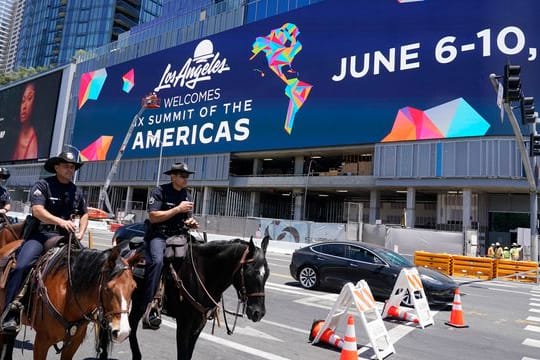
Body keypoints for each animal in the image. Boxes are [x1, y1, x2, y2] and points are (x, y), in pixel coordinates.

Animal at [0, 242, 142, 360]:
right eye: (108, 288)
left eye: (134, 287)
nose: (123, 332)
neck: (67, 297)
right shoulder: (41, 341)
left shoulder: (73, 344)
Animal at [102, 236, 270, 360]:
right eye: (249, 272)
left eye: (267, 274)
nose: (258, 313)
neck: (203, 272)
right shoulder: (184, 323)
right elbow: (182, 354)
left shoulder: (199, 323)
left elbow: (188, 354)